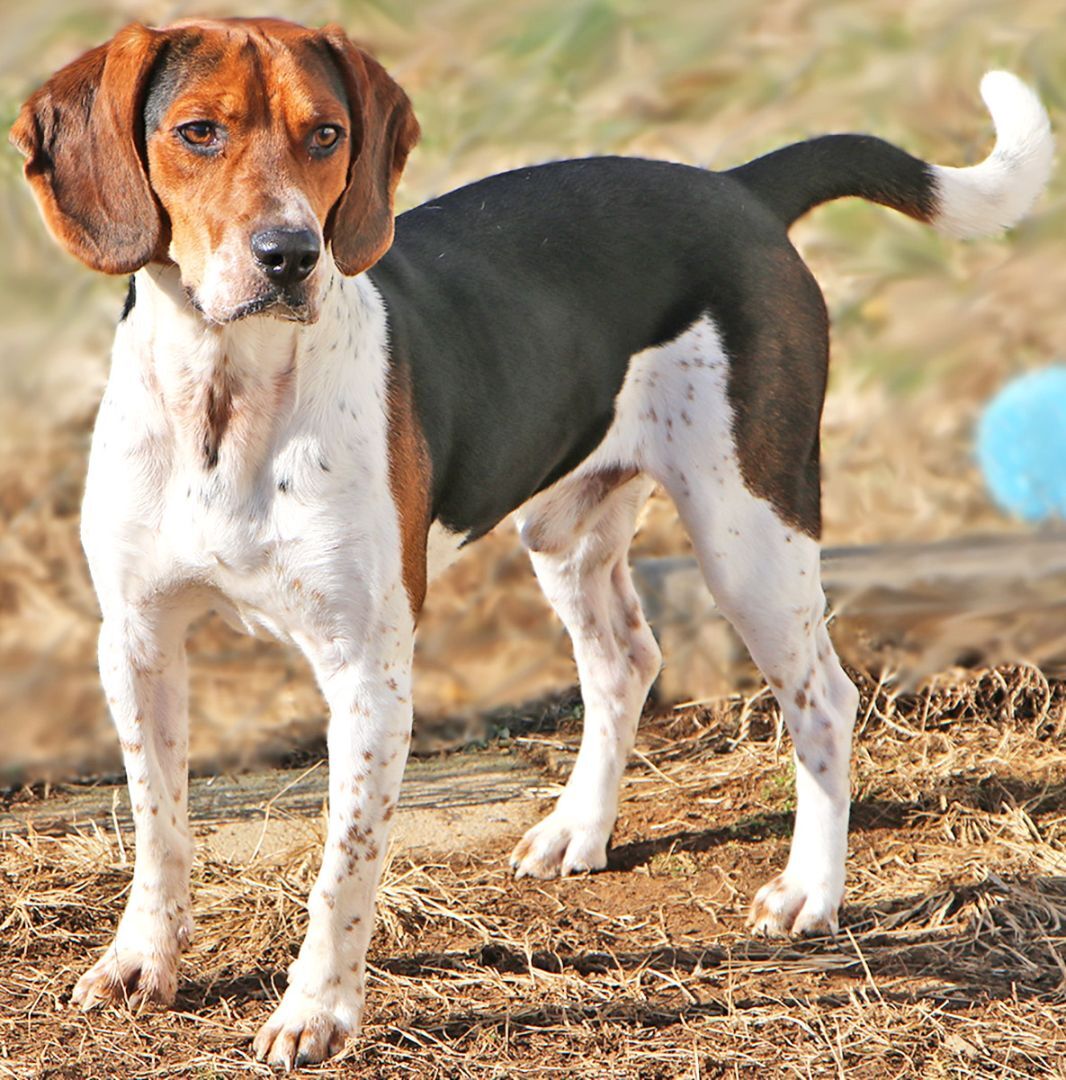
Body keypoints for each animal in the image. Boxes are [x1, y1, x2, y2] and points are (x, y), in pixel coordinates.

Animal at [8, 16, 1054, 1071]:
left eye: (326, 135)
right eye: (198, 132)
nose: (291, 255)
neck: (226, 395)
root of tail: (740, 187)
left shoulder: (366, 673)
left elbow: (344, 869)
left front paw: (318, 1011)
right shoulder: (137, 641)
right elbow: (159, 826)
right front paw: (141, 962)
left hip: (748, 537)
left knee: (825, 703)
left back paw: (811, 890)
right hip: (567, 534)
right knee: (626, 663)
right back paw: (579, 831)